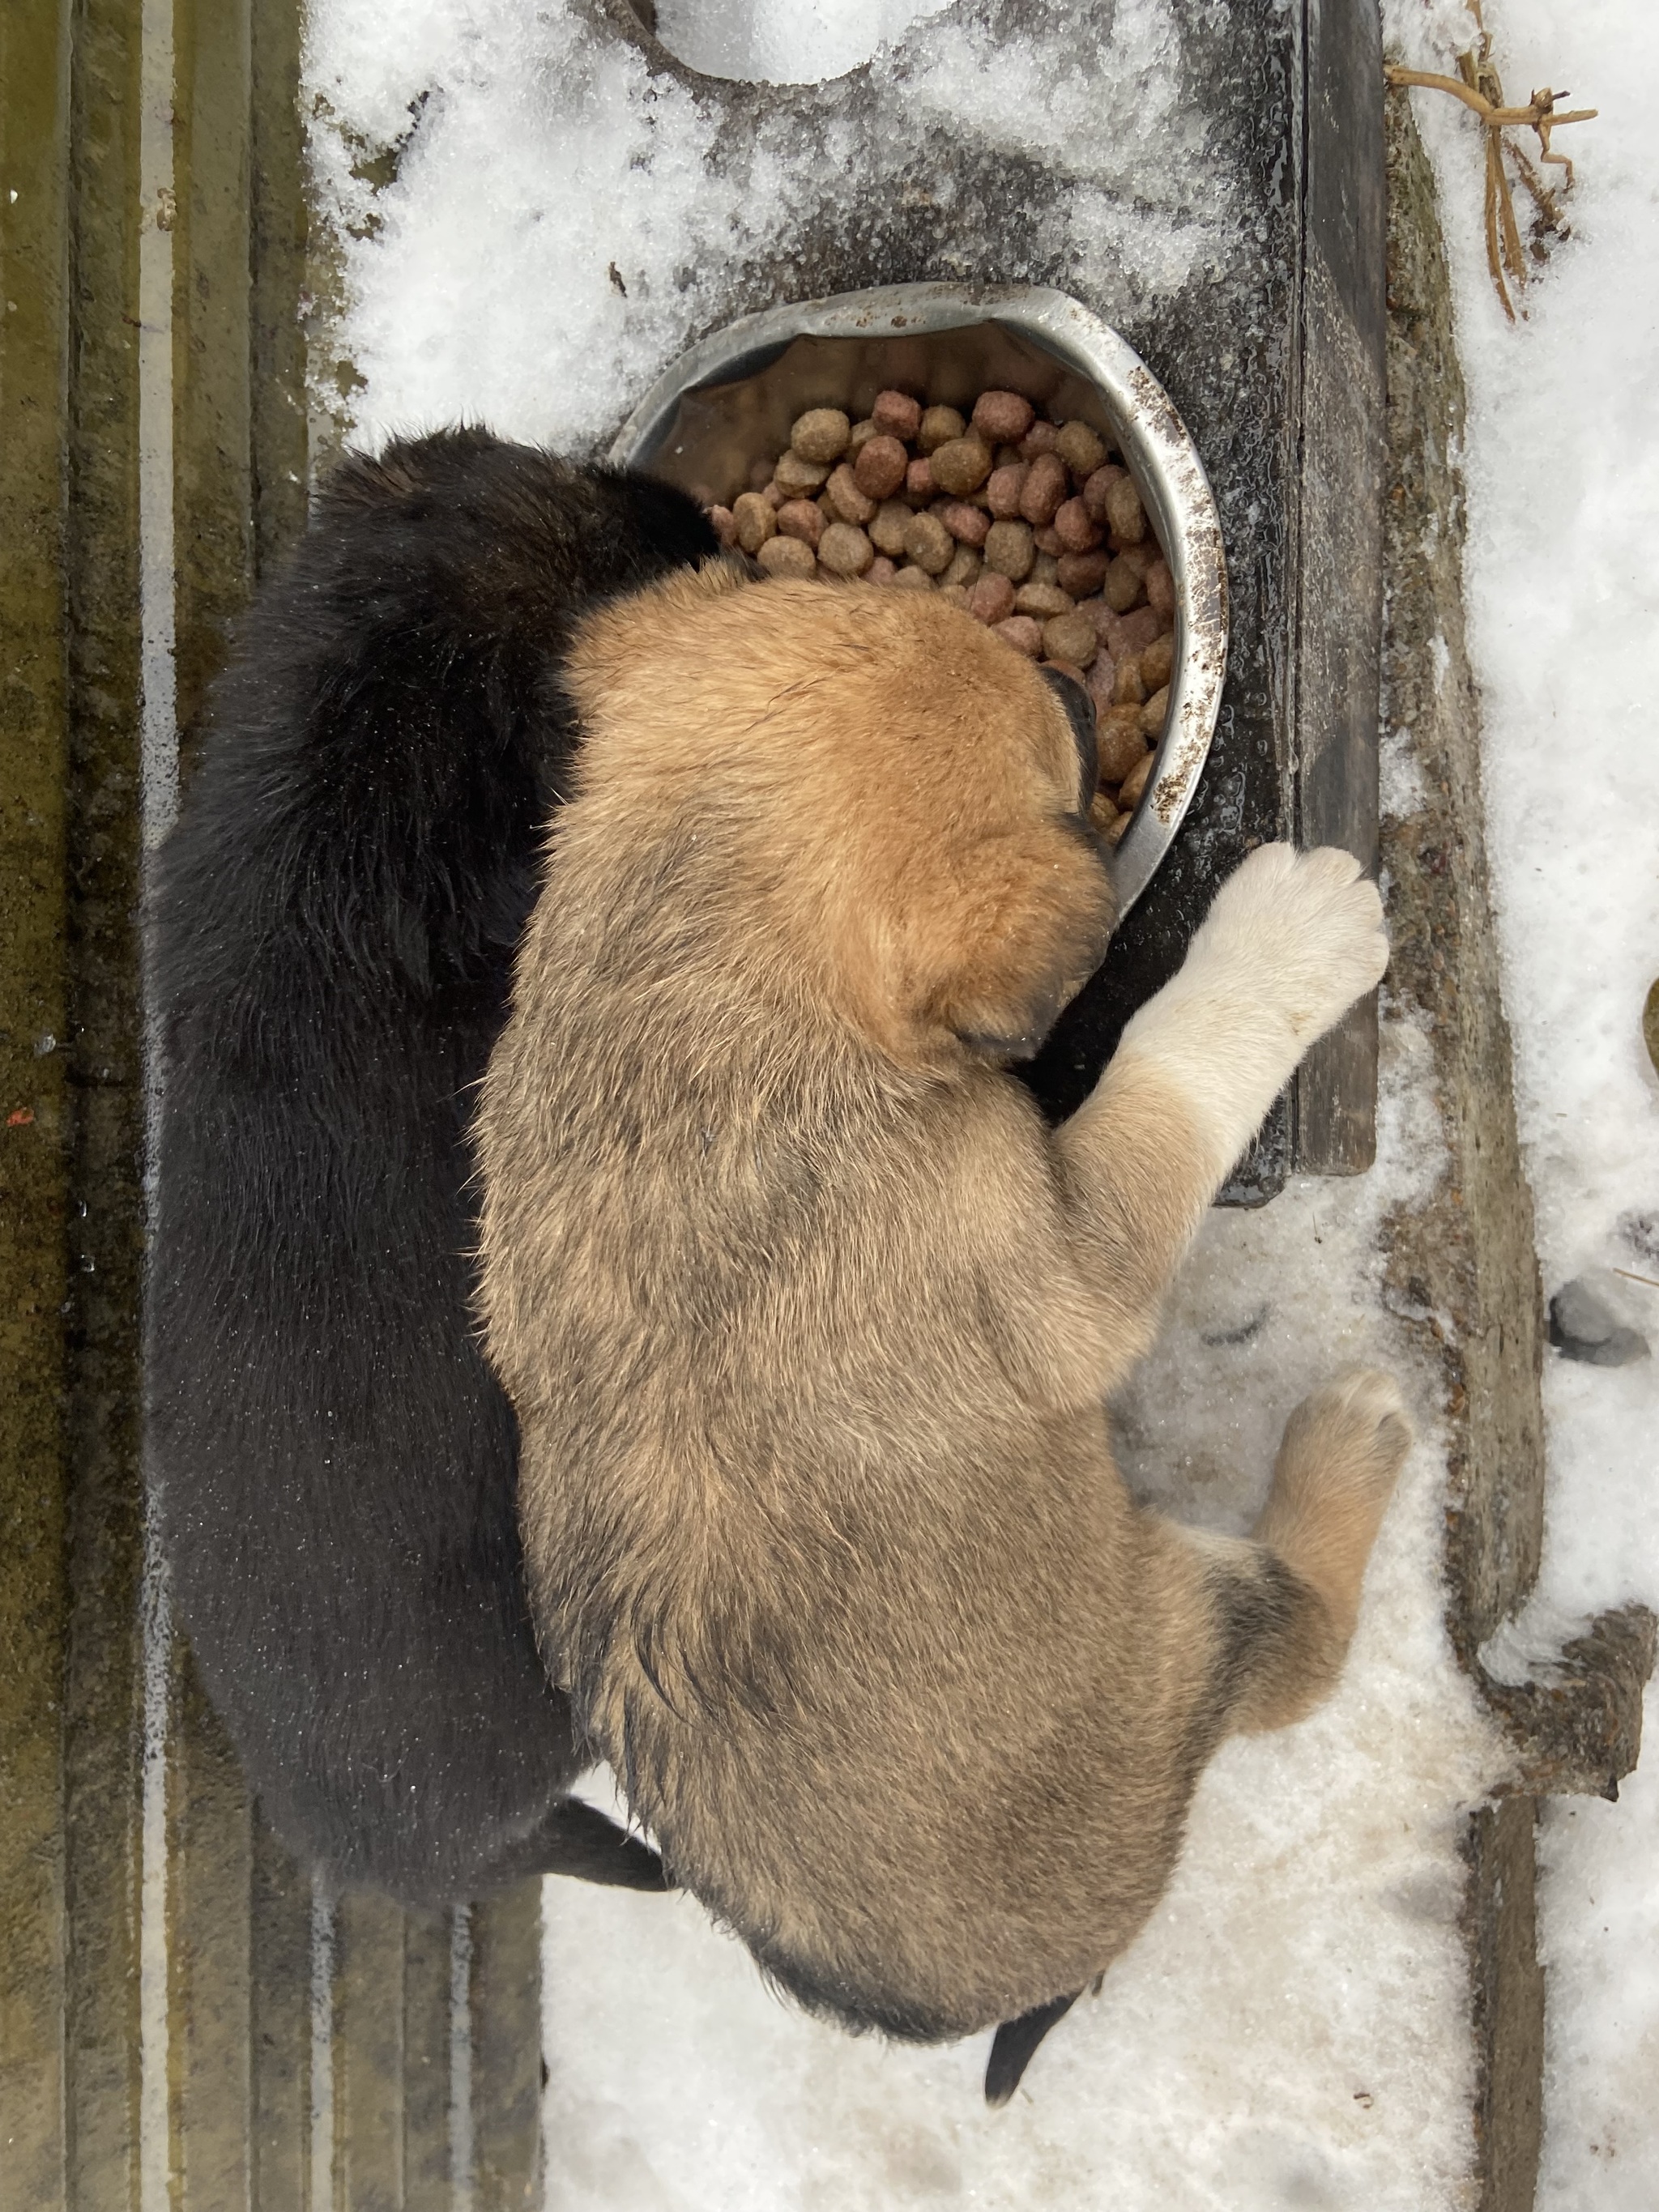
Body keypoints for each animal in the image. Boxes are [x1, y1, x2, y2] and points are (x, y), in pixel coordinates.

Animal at [473, 566, 1406, 2070]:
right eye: (1047, 742)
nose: (1077, 680)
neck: (677, 1010)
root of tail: (990, 1996)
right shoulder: (1077, 1263)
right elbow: (1177, 1066)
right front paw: (1291, 937)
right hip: (1191, 1617)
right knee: (1303, 1645)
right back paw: (1351, 1436)